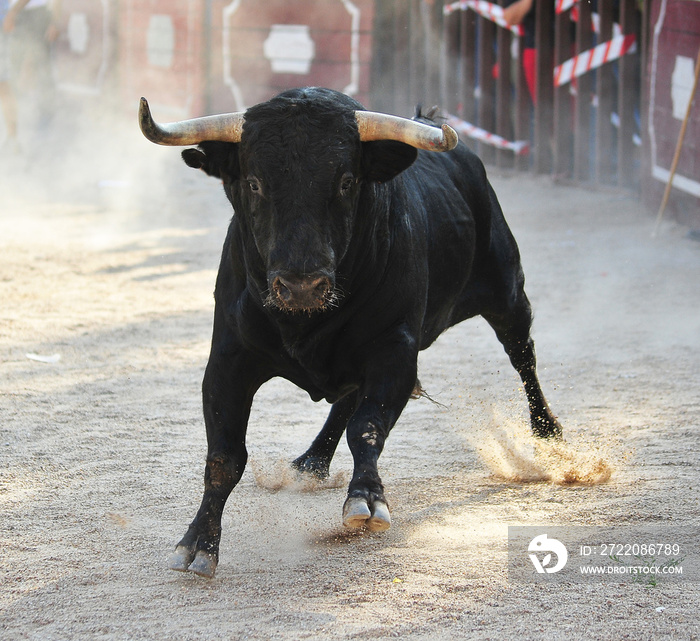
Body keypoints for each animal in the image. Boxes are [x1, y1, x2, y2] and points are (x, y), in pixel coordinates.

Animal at [139, 86, 560, 576]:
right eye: (255, 183)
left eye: (345, 182)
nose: (302, 285)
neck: (304, 321)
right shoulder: (227, 361)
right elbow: (224, 457)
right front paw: (198, 543)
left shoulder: (395, 352)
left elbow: (368, 427)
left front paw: (367, 500)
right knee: (345, 398)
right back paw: (311, 461)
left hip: (507, 290)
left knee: (523, 357)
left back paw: (549, 436)